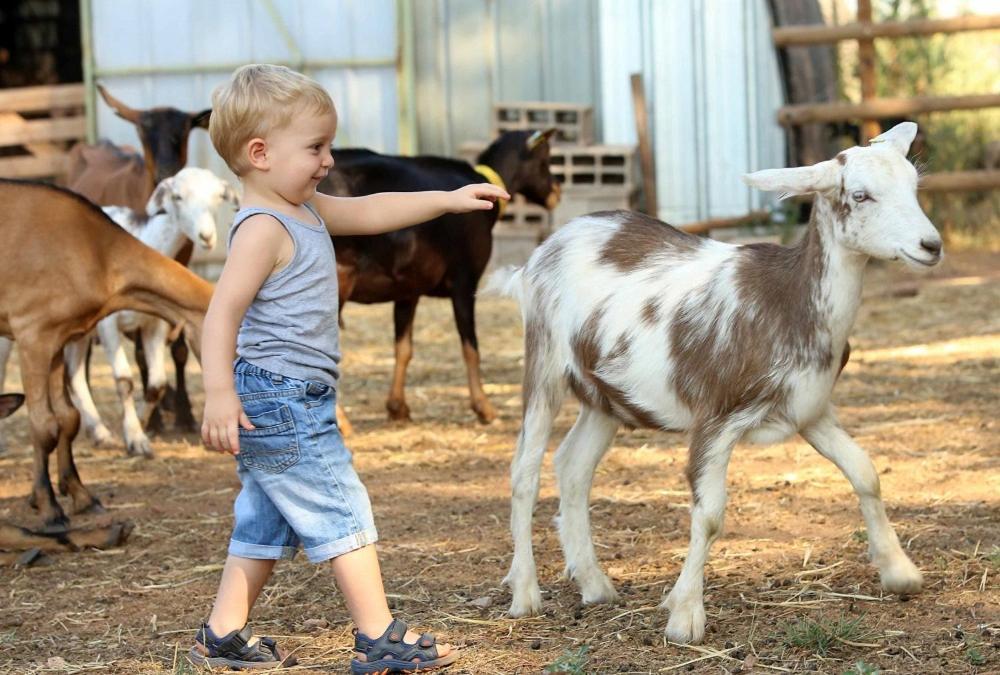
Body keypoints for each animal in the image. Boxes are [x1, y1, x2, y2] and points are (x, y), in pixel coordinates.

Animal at [0, 181, 213, 528]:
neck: (96, 251)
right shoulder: (33, 337)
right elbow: (44, 425)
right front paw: (48, 506)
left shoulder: (58, 340)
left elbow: (68, 418)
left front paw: (80, 495)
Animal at [59, 166, 236, 456]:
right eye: (177, 196)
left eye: (219, 196)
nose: (207, 237)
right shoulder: (108, 325)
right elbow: (124, 380)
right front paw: (135, 439)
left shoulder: (154, 324)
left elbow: (157, 383)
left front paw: (141, 422)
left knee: (73, 375)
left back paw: (99, 433)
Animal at [316, 131, 560, 428]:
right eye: (544, 159)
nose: (556, 193)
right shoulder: (465, 282)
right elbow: (471, 348)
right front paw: (484, 408)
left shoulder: (407, 290)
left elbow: (403, 349)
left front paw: (398, 407)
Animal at [488, 121, 940, 644]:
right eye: (861, 195)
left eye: (914, 185)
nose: (931, 246)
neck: (790, 301)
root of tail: (539, 255)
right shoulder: (716, 416)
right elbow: (709, 515)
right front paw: (685, 615)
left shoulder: (809, 410)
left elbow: (866, 473)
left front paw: (899, 571)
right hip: (543, 360)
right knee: (524, 471)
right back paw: (525, 593)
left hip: (605, 395)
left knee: (573, 466)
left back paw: (595, 584)